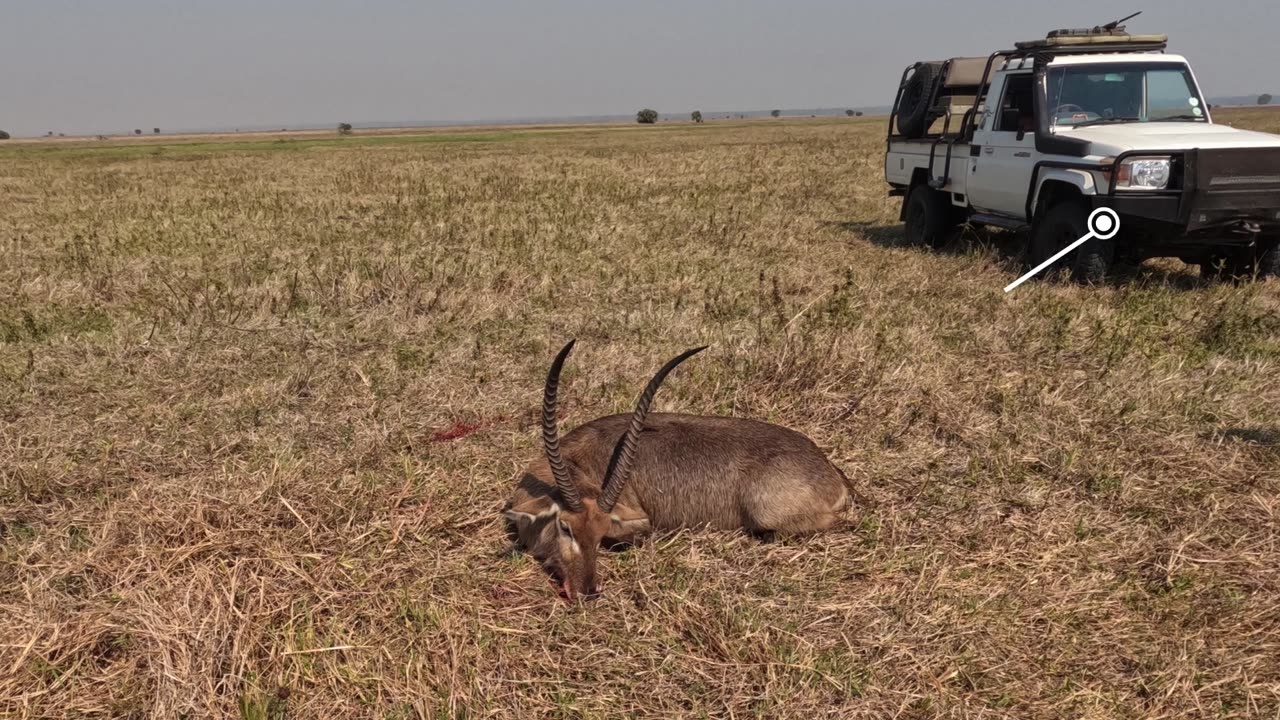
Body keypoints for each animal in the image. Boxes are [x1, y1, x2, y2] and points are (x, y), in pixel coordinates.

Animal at [499, 338, 849, 597]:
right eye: (565, 527)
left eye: (599, 534)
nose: (588, 592)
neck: (578, 462)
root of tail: (829, 468)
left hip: (767, 513)